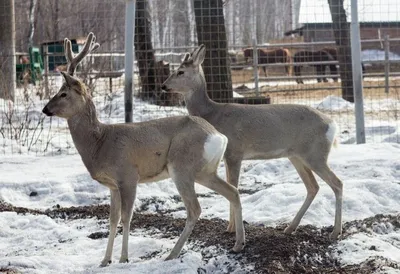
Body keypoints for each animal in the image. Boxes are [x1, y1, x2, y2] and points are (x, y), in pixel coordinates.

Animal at [42, 34, 245, 268]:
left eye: (63, 93)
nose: (45, 109)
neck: (100, 142)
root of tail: (218, 136)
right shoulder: (112, 186)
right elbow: (112, 220)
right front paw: (105, 260)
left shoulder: (128, 176)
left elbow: (127, 217)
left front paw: (123, 258)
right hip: (204, 171)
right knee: (233, 191)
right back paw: (238, 243)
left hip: (181, 167)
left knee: (195, 208)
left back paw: (172, 254)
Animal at [162, 44, 344, 240]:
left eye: (180, 71)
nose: (164, 86)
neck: (213, 114)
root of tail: (332, 124)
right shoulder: (227, 156)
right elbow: (231, 186)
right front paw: (231, 227)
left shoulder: (235, 152)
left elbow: (234, 187)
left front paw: (232, 228)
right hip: (297, 156)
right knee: (313, 186)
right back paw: (290, 227)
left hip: (315, 154)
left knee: (337, 183)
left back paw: (335, 231)